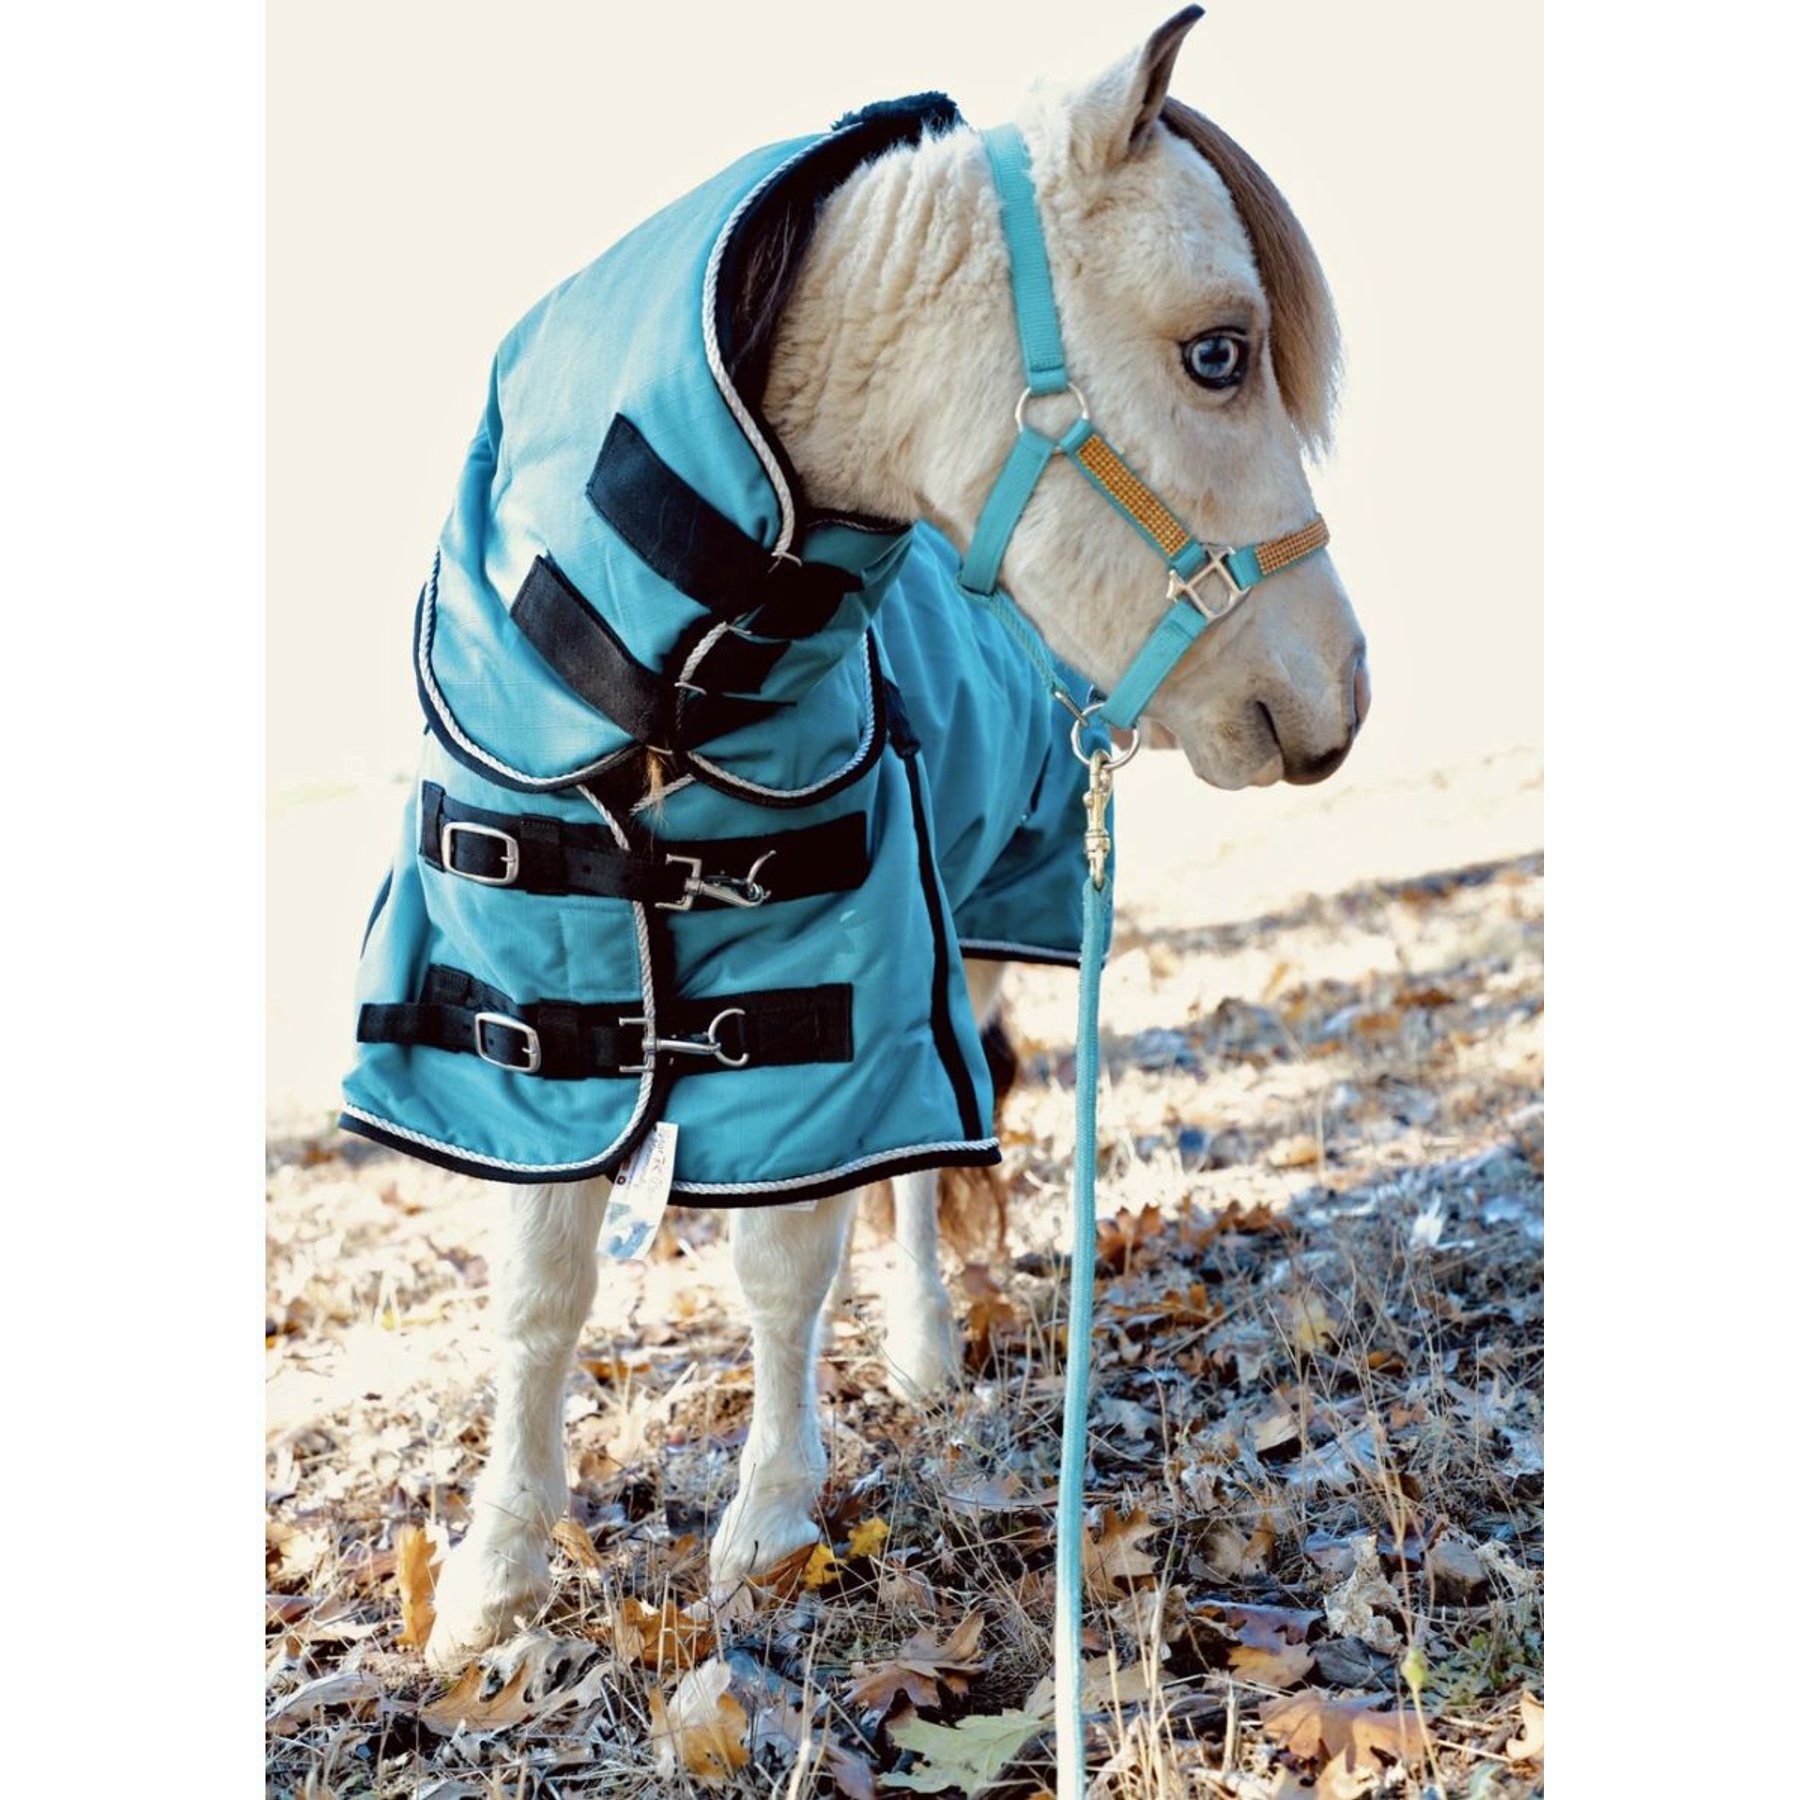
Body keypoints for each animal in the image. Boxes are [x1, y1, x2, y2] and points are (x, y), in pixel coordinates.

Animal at [340, 9, 1368, 1672]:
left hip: (976, 952)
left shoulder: (837, 990)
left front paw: (767, 1530)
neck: (660, 694)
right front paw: (496, 1580)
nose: (1339, 694)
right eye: (1219, 352)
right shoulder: (526, 1012)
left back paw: (931, 1354)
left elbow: (786, 1259)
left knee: (929, 1176)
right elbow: (539, 1292)